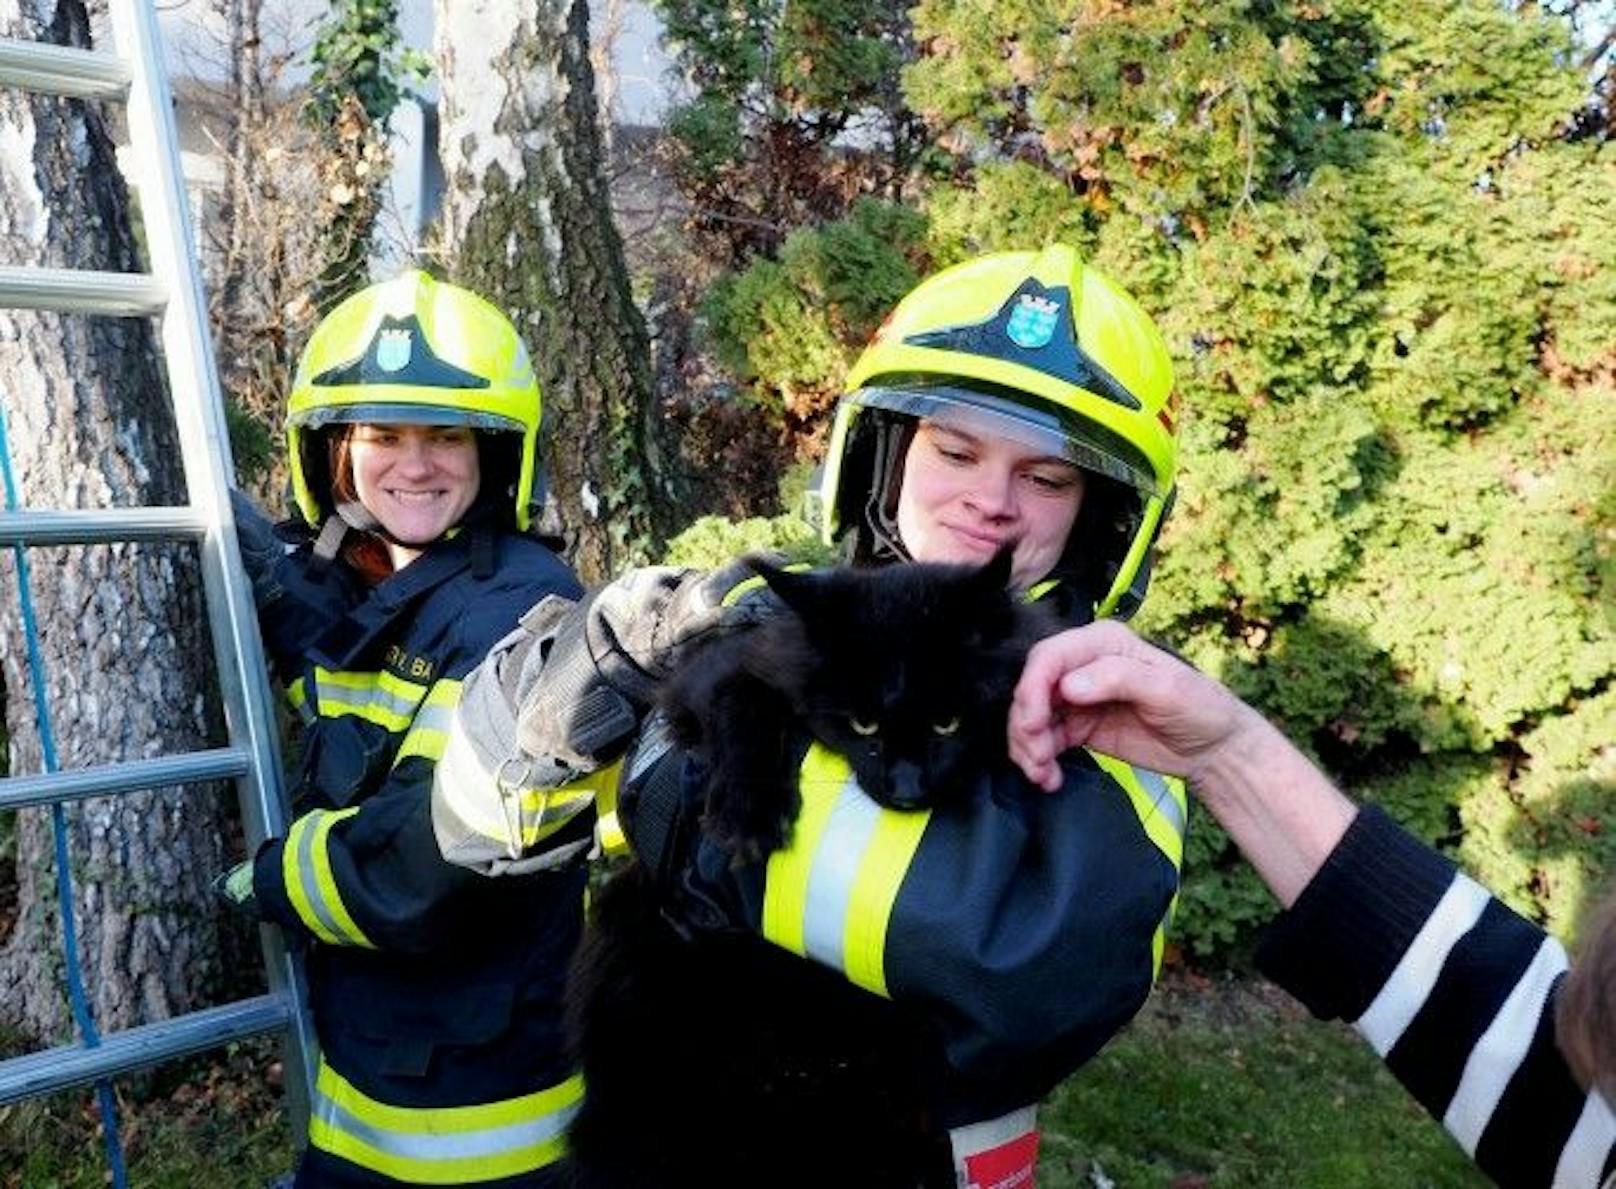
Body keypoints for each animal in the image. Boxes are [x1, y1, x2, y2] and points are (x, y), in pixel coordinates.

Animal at [565, 549, 1060, 1189]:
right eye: (863, 725)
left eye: (947, 723)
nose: (907, 789)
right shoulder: (722, 674)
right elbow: (742, 704)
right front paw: (746, 812)